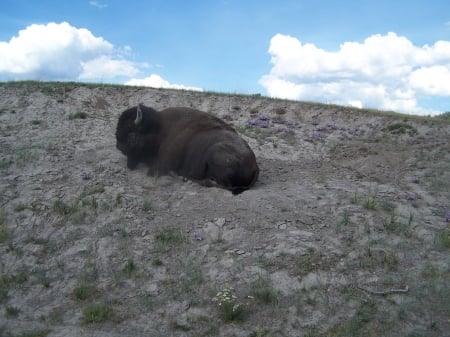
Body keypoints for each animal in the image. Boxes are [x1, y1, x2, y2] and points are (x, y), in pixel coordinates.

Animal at [115, 103, 260, 193]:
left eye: (131, 133)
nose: (119, 146)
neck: (159, 129)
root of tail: (255, 166)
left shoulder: (161, 164)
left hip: (214, 151)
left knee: (219, 184)